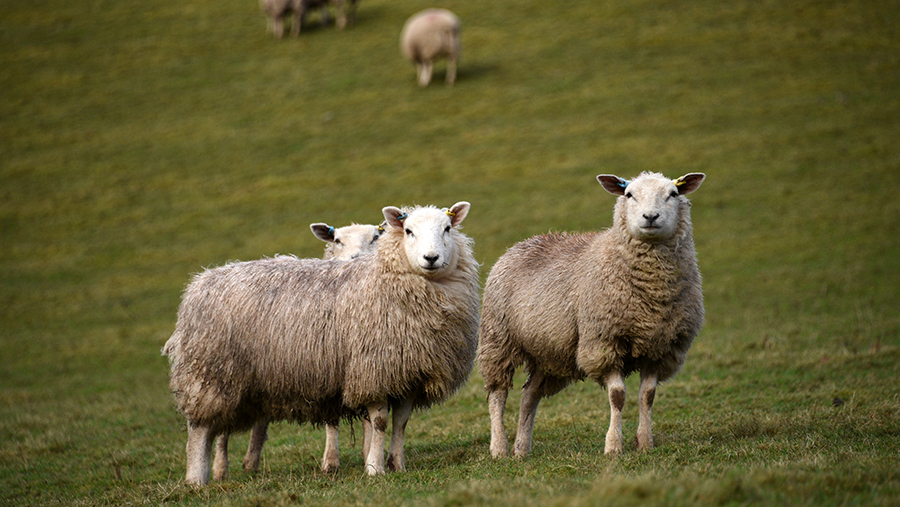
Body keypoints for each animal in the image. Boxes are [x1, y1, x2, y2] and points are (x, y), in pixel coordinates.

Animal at [164, 201, 482, 484]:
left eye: (447, 228)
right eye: (408, 231)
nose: (431, 258)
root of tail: (201, 280)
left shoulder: (408, 374)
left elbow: (401, 423)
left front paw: (397, 465)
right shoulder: (371, 371)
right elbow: (379, 422)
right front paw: (374, 469)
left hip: (242, 382)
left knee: (222, 426)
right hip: (210, 374)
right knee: (200, 429)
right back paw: (196, 478)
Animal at [474, 173, 708, 458]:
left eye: (673, 194)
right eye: (629, 194)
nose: (650, 217)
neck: (652, 294)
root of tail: (522, 243)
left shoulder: (660, 347)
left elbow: (648, 395)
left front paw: (645, 443)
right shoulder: (603, 341)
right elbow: (617, 396)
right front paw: (613, 446)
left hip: (548, 353)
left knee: (529, 395)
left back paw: (522, 449)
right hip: (498, 339)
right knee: (497, 394)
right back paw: (499, 448)